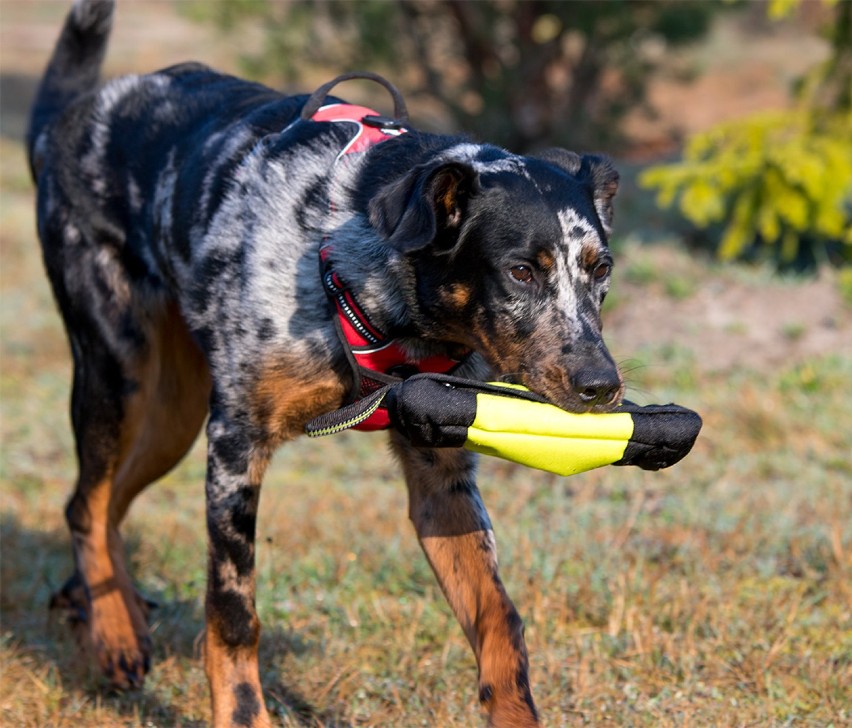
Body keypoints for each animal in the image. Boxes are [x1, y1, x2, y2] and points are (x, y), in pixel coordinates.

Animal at [26, 2, 624, 724]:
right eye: (521, 272)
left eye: (601, 268)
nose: (602, 386)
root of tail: (69, 115)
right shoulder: (235, 449)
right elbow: (234, 614)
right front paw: (242, 712)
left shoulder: (441, 476)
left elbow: (499, 619)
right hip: (122, 377)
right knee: (86, 503)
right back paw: (114, 634)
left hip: (172, 415)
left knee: (103, 501)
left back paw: (109, 613)